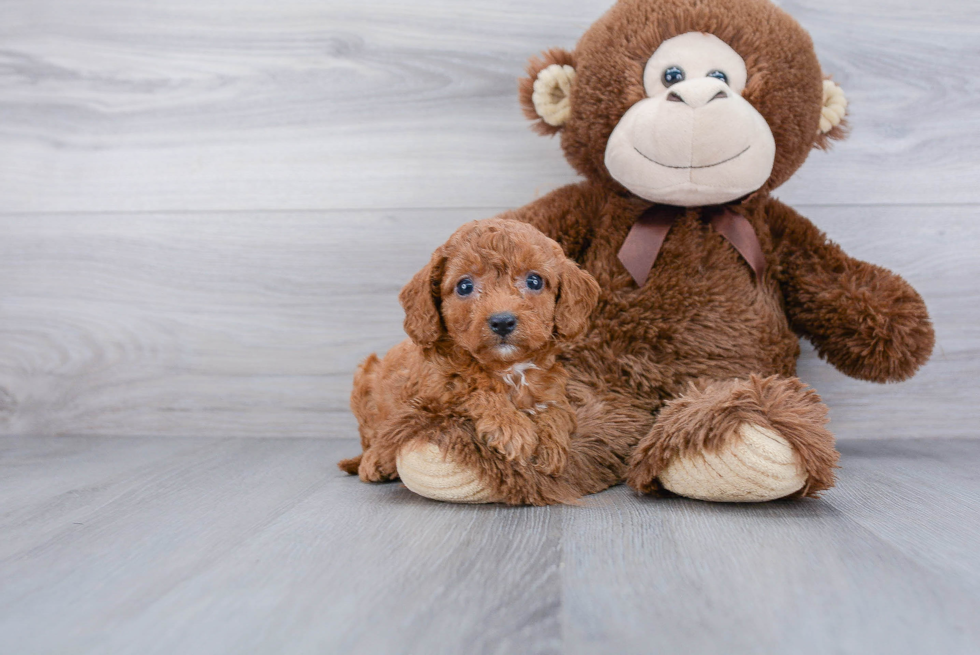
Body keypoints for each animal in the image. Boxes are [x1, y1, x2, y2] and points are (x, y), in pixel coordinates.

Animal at [340, 218, 600, 490]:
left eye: (534, 281)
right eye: (465, 286)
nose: (502, 321)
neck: (506, 367)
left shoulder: (551, 387)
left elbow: (557, 410)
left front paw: (552, 445)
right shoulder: (435, 394)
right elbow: (474, 392)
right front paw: (510, 426)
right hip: (366, 377)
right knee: (375, 436)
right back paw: (374, 460)